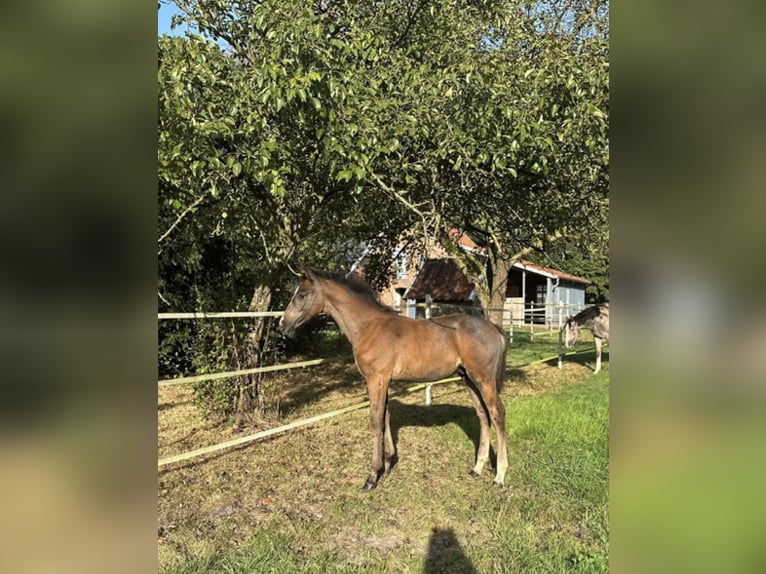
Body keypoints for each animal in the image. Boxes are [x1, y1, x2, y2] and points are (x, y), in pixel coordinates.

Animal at [279, 268, 508, 490]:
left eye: (302, 294)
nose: (282, 325)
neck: (369, 328)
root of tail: (495, 329)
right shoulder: (385, 381)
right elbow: (386, 417)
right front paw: (388, 464)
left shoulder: (376, 380)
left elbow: (375, 421)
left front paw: (372, 477)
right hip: (468, 378)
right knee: (482, 414)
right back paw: (477, 468)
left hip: (484, 378)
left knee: (497, 413)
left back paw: (499, 476)